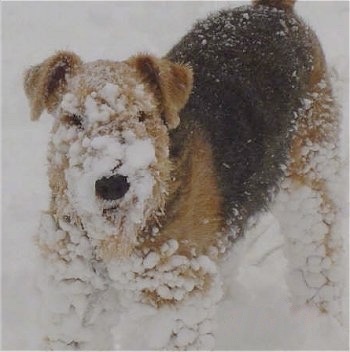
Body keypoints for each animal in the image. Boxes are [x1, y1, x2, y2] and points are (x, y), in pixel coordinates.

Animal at [24, 0, 344, 350]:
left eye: (143, 114)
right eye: (73, 118)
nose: (112, 184)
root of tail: (273, 10)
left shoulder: (173, 299)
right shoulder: (77, 293)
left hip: (309, 182)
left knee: (318, 257)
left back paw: (317, 326)